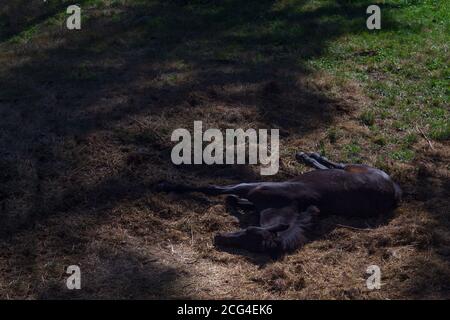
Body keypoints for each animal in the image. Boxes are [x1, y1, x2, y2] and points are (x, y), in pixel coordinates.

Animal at [156, 152, 402, 258]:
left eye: (249, 239)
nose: (218, 238)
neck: (285, 203)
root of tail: (394, 190)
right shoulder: (250, 187)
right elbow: (216, 190)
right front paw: (165, 185)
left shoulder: (252, 189)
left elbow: (218, 192)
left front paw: (165, 185)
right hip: (355, 168)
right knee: (335, 164)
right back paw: (308, 155)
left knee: (333, 165)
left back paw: (308, 156)